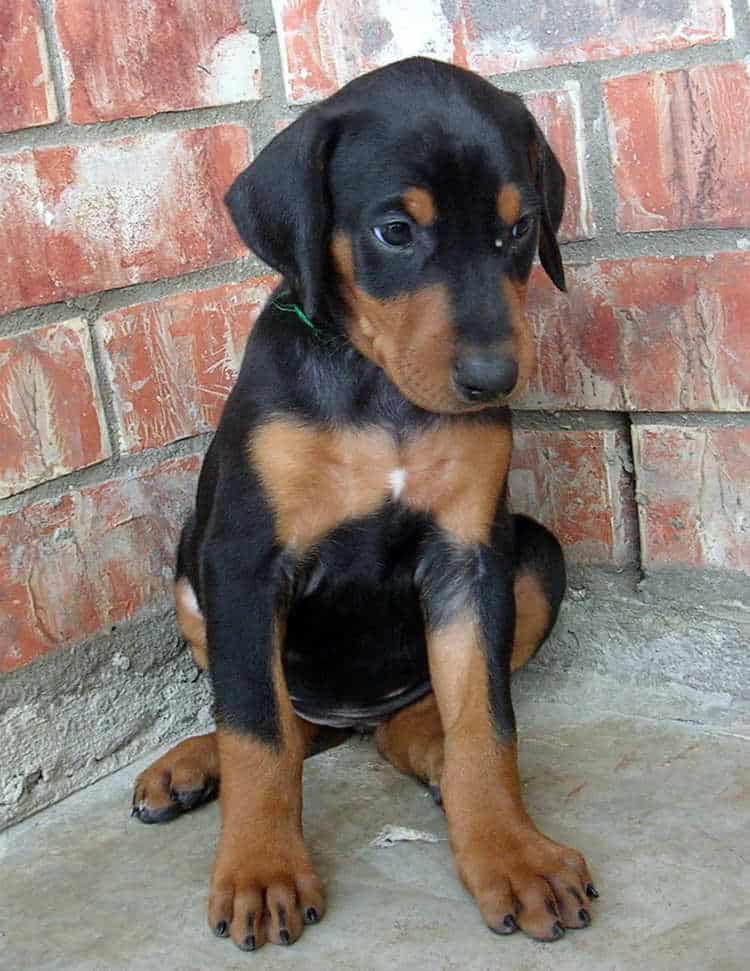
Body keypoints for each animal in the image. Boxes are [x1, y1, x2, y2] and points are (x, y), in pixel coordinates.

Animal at [131, 57, 600, 952]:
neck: (377, 389)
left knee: (403, 721)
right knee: (282, 717)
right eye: (394, 231)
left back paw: (429, 750)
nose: (493, 380)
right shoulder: (241, 562)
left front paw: (512, 853)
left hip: (535, 554)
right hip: (188, 571)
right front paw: (262, 870)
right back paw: (192, 763)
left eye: (520, 229)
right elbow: (256, 727)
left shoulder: (468, 555)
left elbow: (487, 720)